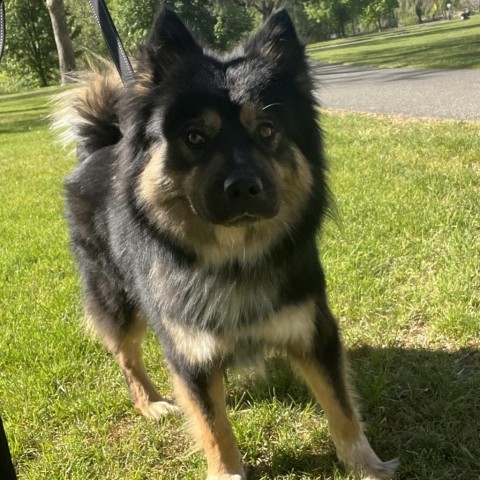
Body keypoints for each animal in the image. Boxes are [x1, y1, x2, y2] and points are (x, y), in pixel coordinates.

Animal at [54, 7, 398, 480]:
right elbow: (214, 427)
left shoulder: (314, 331)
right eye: (195, 137)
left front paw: (366, 466)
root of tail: (101, 145)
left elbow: (342, 409)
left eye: (267, 130)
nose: (245, 188)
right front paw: (226, 470)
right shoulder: (189, 353)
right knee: (127, 356)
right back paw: (151, 403)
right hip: (117, 298)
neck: (234, 256)